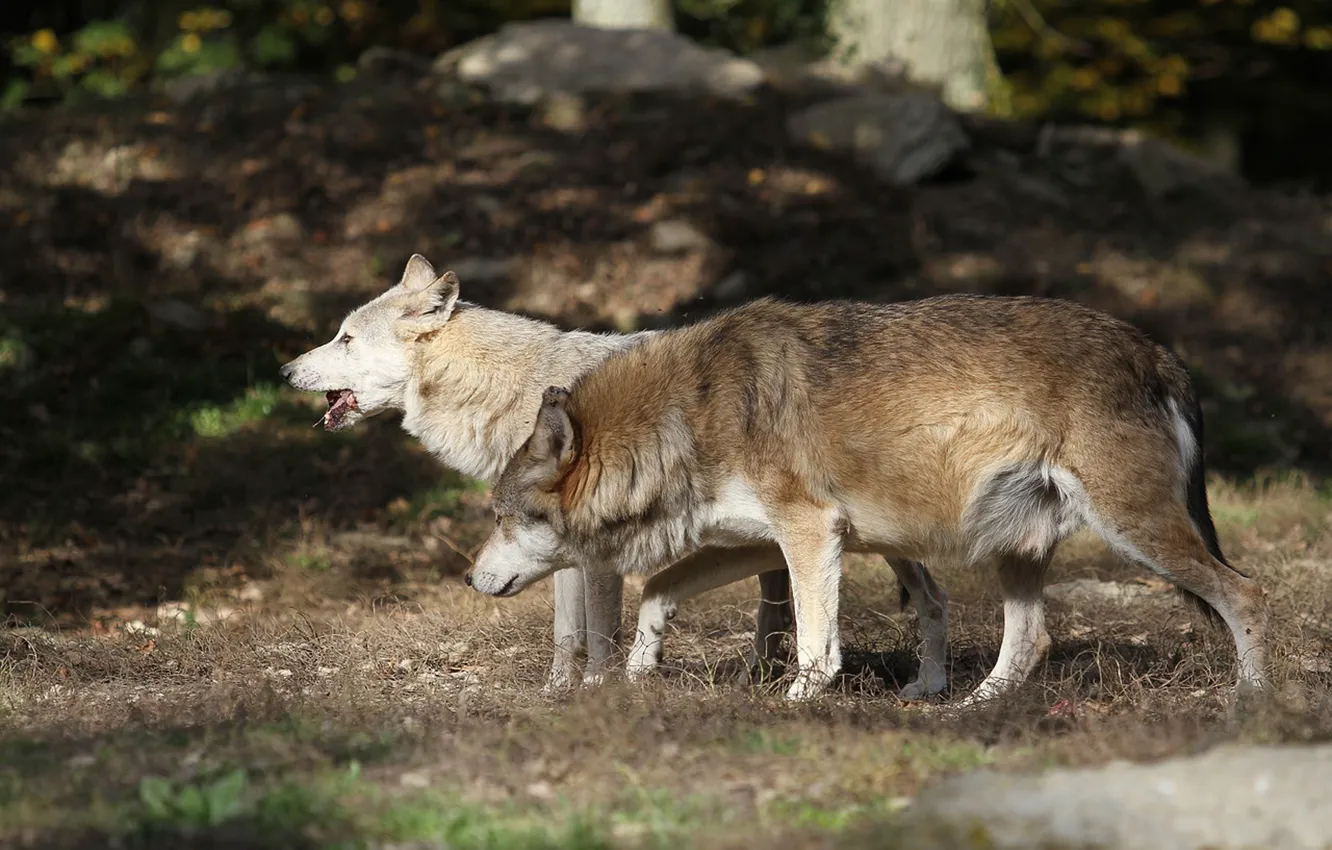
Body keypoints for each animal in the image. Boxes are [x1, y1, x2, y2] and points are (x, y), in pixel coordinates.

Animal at [278, 254, 950, 697]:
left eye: (344, 338)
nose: (284, 371)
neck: (517, 393)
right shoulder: (563, 550)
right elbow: (564, 634)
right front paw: (556, 694)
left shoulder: (596, 553)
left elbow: (597, 633)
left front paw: (599, 689)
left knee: (927, 599)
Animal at [465, 294, 1270, 702]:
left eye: (502, 517)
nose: (469, 579)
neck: (688, 412)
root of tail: (1159, 353)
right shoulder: (765, 541)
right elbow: (660, 590)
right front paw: (638, 673)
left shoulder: (809, 532)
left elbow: (817, 647)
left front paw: (796, 704)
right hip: (1018, 547)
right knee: (1032, 639)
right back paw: (971, 709)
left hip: (1136, 532)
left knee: (1247, 594)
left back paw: (1254, 701)